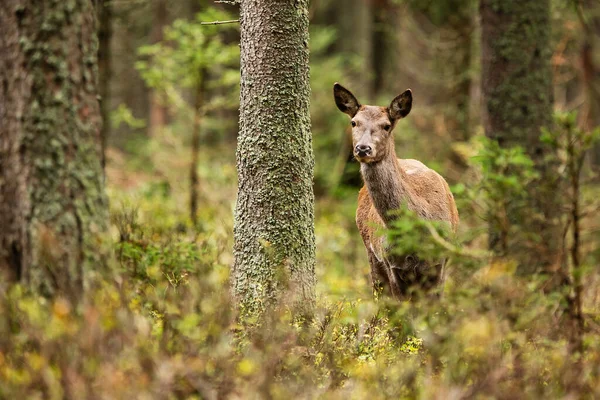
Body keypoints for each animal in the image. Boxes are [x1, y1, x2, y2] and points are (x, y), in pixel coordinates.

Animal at [332, 82, 460, 300]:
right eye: (354, 123)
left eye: (386, 125)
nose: (363, 149)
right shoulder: (391, 263)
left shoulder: (440, 262)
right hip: (371, 253)